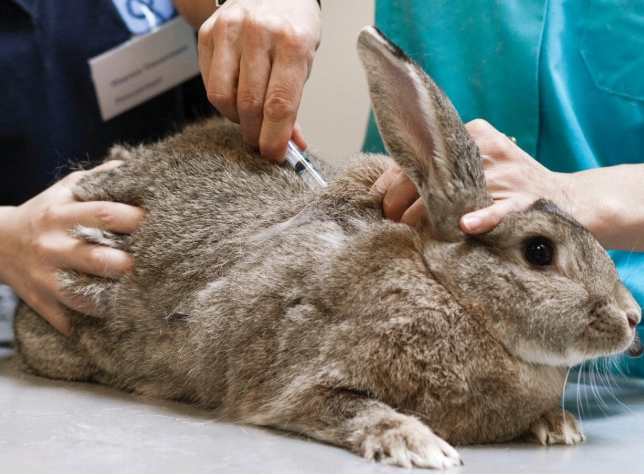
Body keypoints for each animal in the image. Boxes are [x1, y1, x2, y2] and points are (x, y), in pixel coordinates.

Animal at [13, 26, 642, 469]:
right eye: (539, 251)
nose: (633, 318)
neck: (450, 291)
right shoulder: (299, 384)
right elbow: (352, 409)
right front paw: (421, 445)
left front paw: (558, 424)